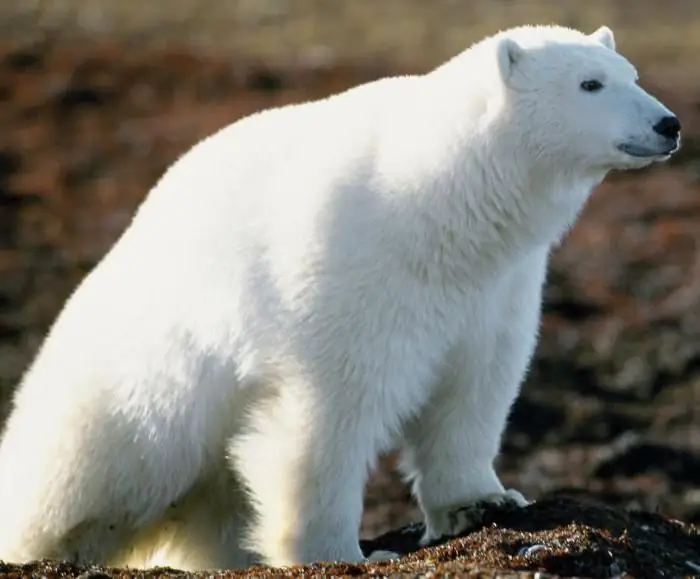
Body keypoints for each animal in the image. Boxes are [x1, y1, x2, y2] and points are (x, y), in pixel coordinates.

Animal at [0, 22, 680, 572]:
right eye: (590, 83)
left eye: (632, 74)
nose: (668, 124)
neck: (437, 209)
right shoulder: (350, 271)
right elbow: (328, 415)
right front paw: (341, 552)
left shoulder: (498, 287)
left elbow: (476, 386)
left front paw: (483, 502)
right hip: (140, 384)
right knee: (85, 469)